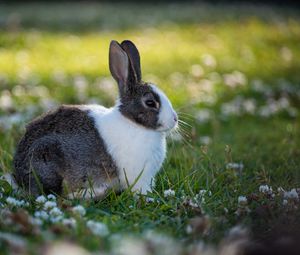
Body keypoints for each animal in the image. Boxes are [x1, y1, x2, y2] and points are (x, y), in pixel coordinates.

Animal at [12, 40, 178, 199]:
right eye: (150, 103)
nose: (175, 119)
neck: (133, 123)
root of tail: (18, 178)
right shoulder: (139, 177)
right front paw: (150, 198)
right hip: (46, 158)